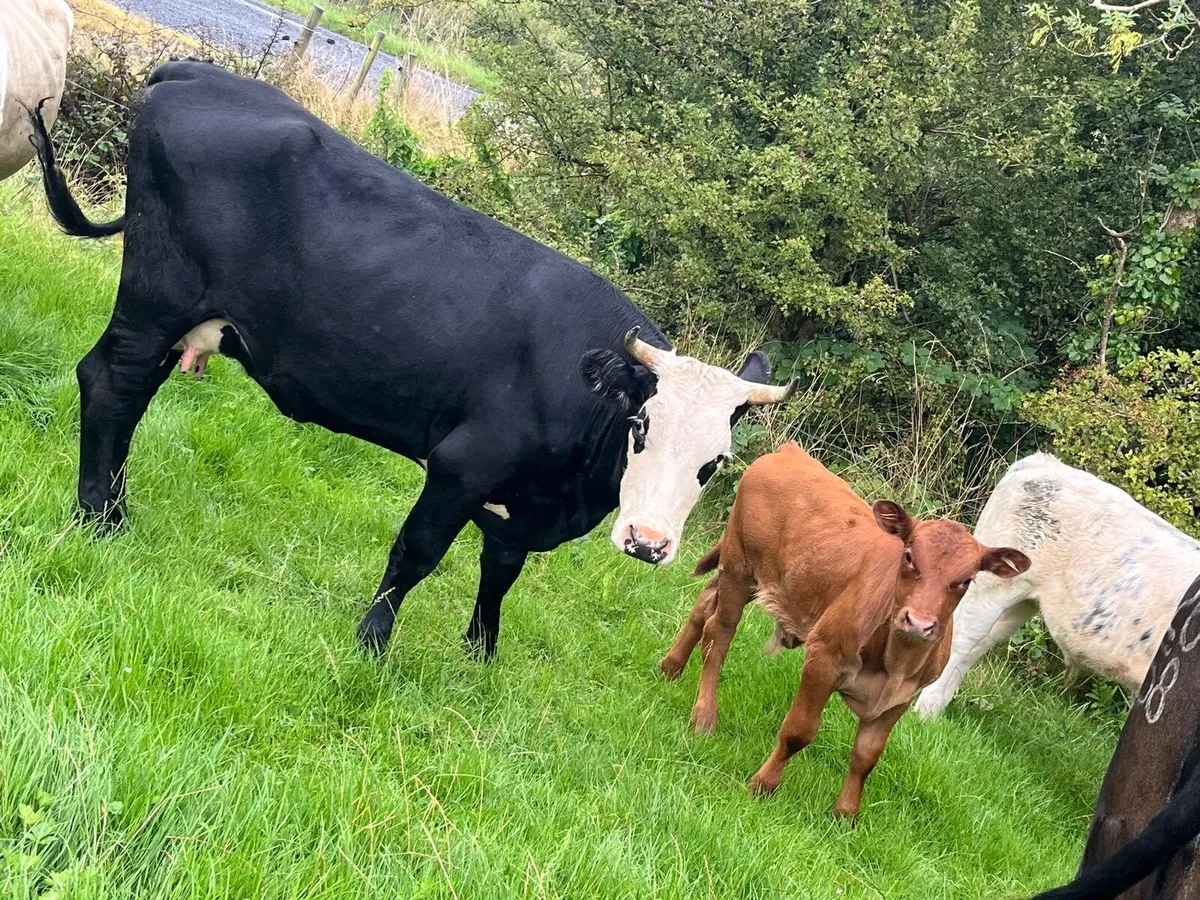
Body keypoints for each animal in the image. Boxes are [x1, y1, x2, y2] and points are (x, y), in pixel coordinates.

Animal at [26, 61, 799, 660]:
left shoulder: (517, 502)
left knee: (132, 393)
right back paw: (99, 519)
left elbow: (500, 572)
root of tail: (193, 72)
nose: (648, 542)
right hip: (157, 295)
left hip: (182, 318)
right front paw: (372, 641)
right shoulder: (463, 462)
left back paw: (114, 510)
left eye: (714, 462)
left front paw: (480, 656)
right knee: (111, 383)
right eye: (641, 426)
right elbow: (417, 552)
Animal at [659, 442, 1030, 818]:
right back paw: (705, 716)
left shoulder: (903, 696)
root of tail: (790, 451)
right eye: (909, 556)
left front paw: (846, 814)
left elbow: (867, 755)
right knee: (718, 633)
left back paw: (671, 667)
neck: (894, 661)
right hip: (739, 565)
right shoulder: (824, 659)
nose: (918, 622)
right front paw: (763, 785)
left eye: (966, 580)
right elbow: (799, 731)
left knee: (705, 604)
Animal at [915, 453, 1200, 720]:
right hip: (991, 587)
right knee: (961, 641)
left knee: (978, 646)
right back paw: (924, 713)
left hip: (1020, 603)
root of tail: (1046, 463)